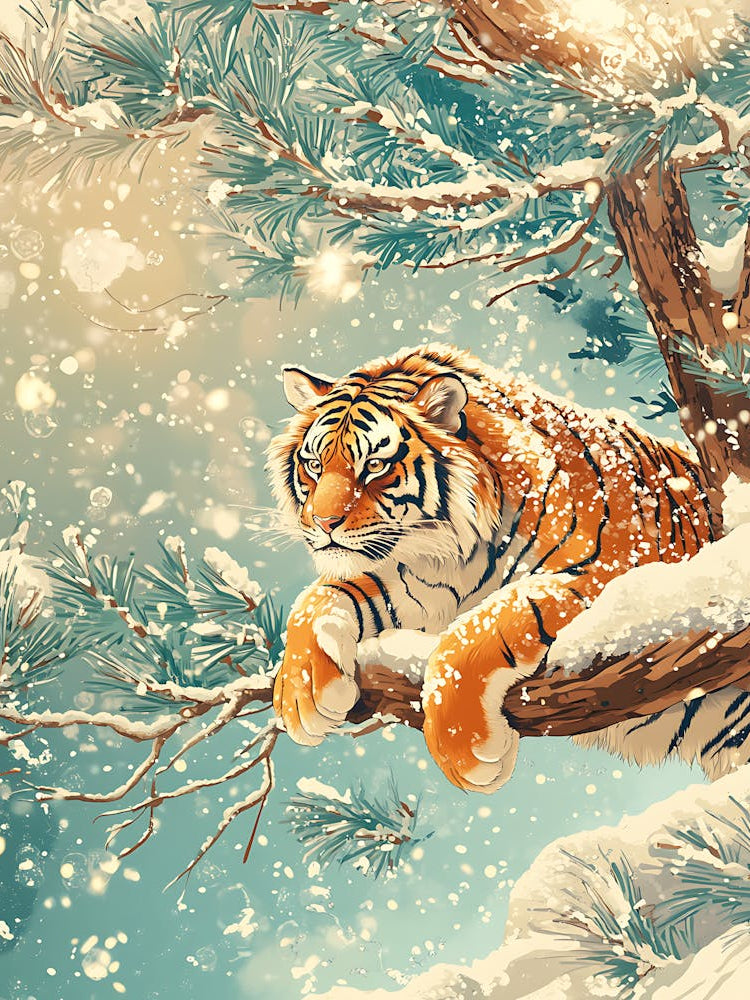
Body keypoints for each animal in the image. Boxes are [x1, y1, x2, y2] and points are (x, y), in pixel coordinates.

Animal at [268, 343, 714, 792]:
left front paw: (465, 749)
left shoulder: (609, 574)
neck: (447, 551)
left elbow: (485, 623)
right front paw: (300, 695)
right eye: (314, 465)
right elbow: (320, 596)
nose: (321, 523)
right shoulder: (410, 581)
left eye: (375, 465)